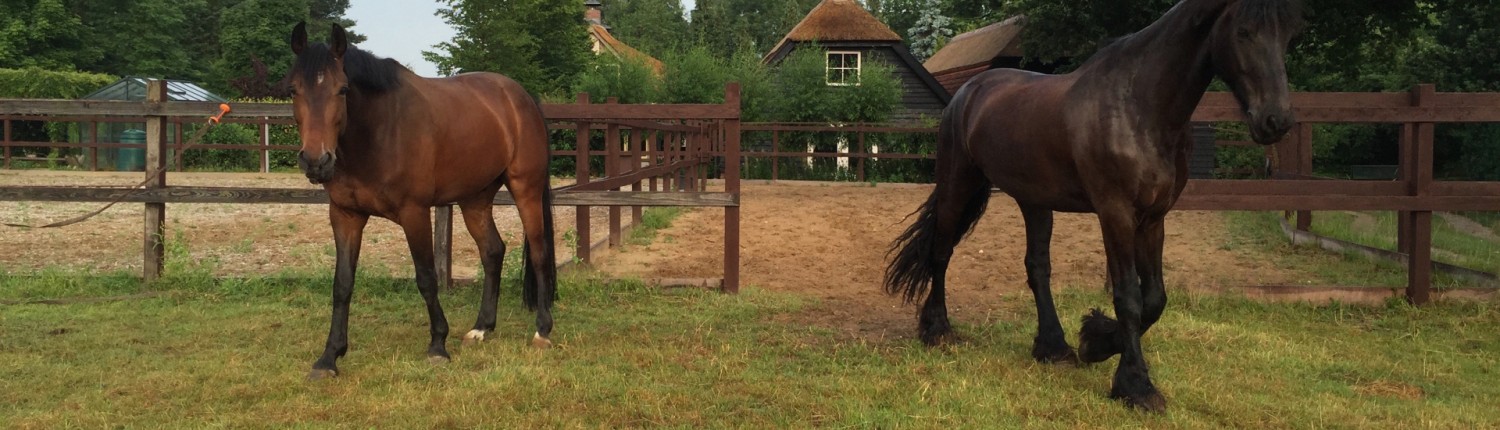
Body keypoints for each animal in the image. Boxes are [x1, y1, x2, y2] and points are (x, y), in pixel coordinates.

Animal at [286, 22, 558, 380]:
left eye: (342, 90)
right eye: (293, 90)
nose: (316, 161)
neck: (379, 131)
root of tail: (520, 97)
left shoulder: (414, 212)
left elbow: (427, 277)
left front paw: (438, 346)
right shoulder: (345, 215)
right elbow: (342, 284)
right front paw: (329, 357)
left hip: (525, 188)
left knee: (539, 253)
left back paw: (542, 330)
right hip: (475, 199)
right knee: (492, 251)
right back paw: (482, 328)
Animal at [882, 0, 1296, 413]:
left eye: (1287, 34)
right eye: (1243, 32)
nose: (1276, 121)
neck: (1139, 108)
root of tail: (967, 92)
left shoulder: (1153, 218)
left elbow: (1155, 298)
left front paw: (1096, 341)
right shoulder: (1116, 214)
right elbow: (1129, 297)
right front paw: (1135, 385)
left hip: (1035, 201)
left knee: (1037, 267)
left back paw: (1053, 347)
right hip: (959, 183)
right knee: (941, 252)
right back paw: (938, 330)